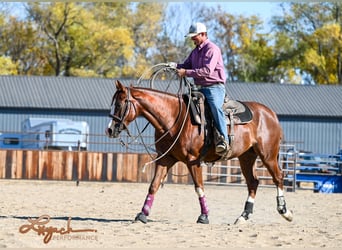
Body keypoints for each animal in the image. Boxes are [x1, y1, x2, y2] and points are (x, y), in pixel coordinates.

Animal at [105, 80, 292, 225]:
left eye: (120, 104)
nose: (110, 130)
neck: (175, 118)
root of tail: (270, 113)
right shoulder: (165, 159)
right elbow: (154, 185)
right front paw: (142, 214)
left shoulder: (193, 160)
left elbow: (199, 187)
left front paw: (204, 216)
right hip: (246, 157)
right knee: (253, 182)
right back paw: (243, 216)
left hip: (267, 155)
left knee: (278, 177)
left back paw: (285, 211)